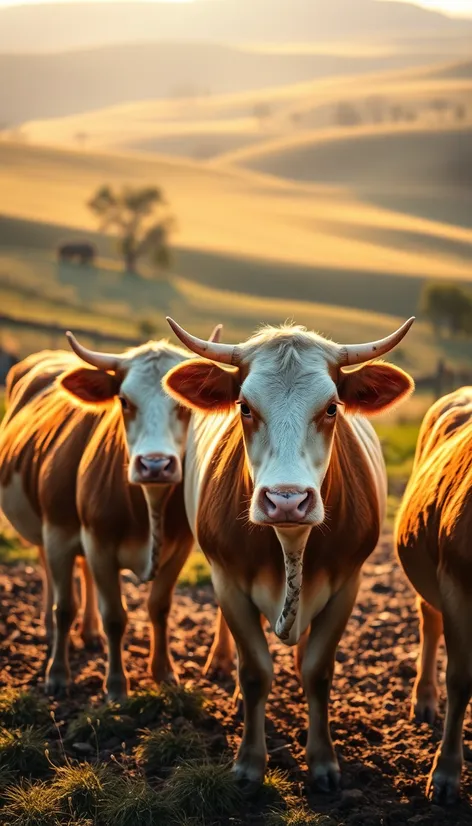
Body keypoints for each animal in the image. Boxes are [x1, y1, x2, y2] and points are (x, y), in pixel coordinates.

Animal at [0, 326, 221, 700]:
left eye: (183, 405)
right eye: (125, 401)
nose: (155, 465)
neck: (149, 507)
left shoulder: (178, 548)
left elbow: (159, 607)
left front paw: (163, 672)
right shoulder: (76, 538)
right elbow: (97, 613)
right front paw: (85, 680)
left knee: (84, 572)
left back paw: (89, 633)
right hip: (48, 529)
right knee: (51, 575)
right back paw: (52, 630)